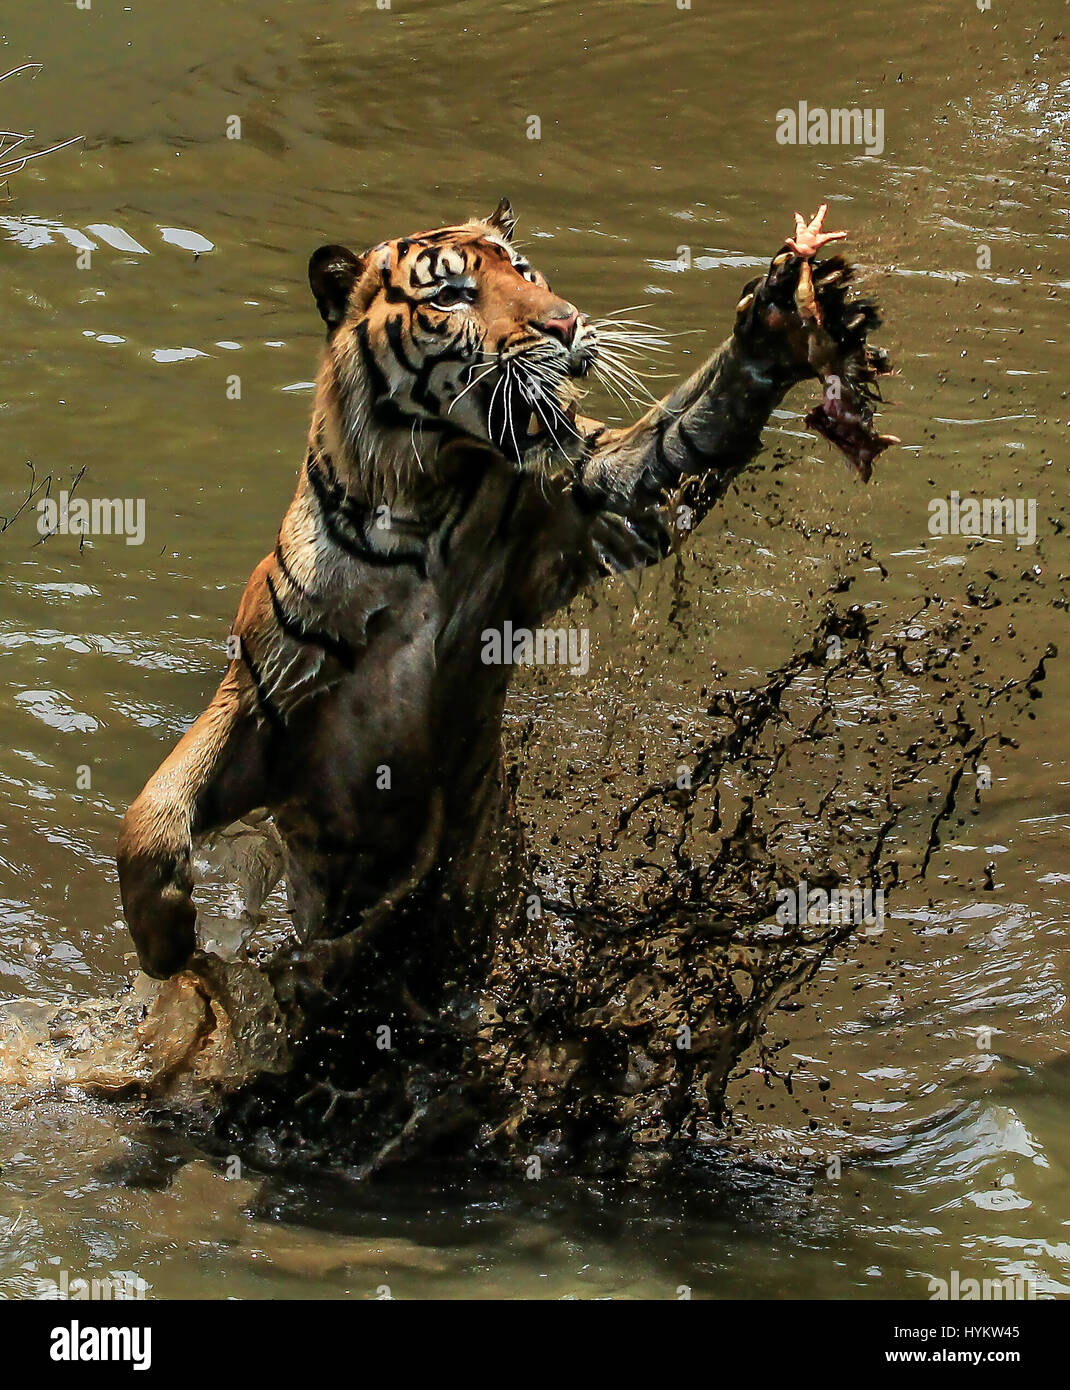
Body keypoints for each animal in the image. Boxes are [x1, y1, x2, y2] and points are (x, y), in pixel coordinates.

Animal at [116, 195, 889, 984]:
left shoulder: (591, 505)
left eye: (524, 271)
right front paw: (169, 947)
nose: (566, 324)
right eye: (453, 294)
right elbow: (149, 813)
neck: (420, 504)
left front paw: (784, 319)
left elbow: (680, 433)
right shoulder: (266, 688)